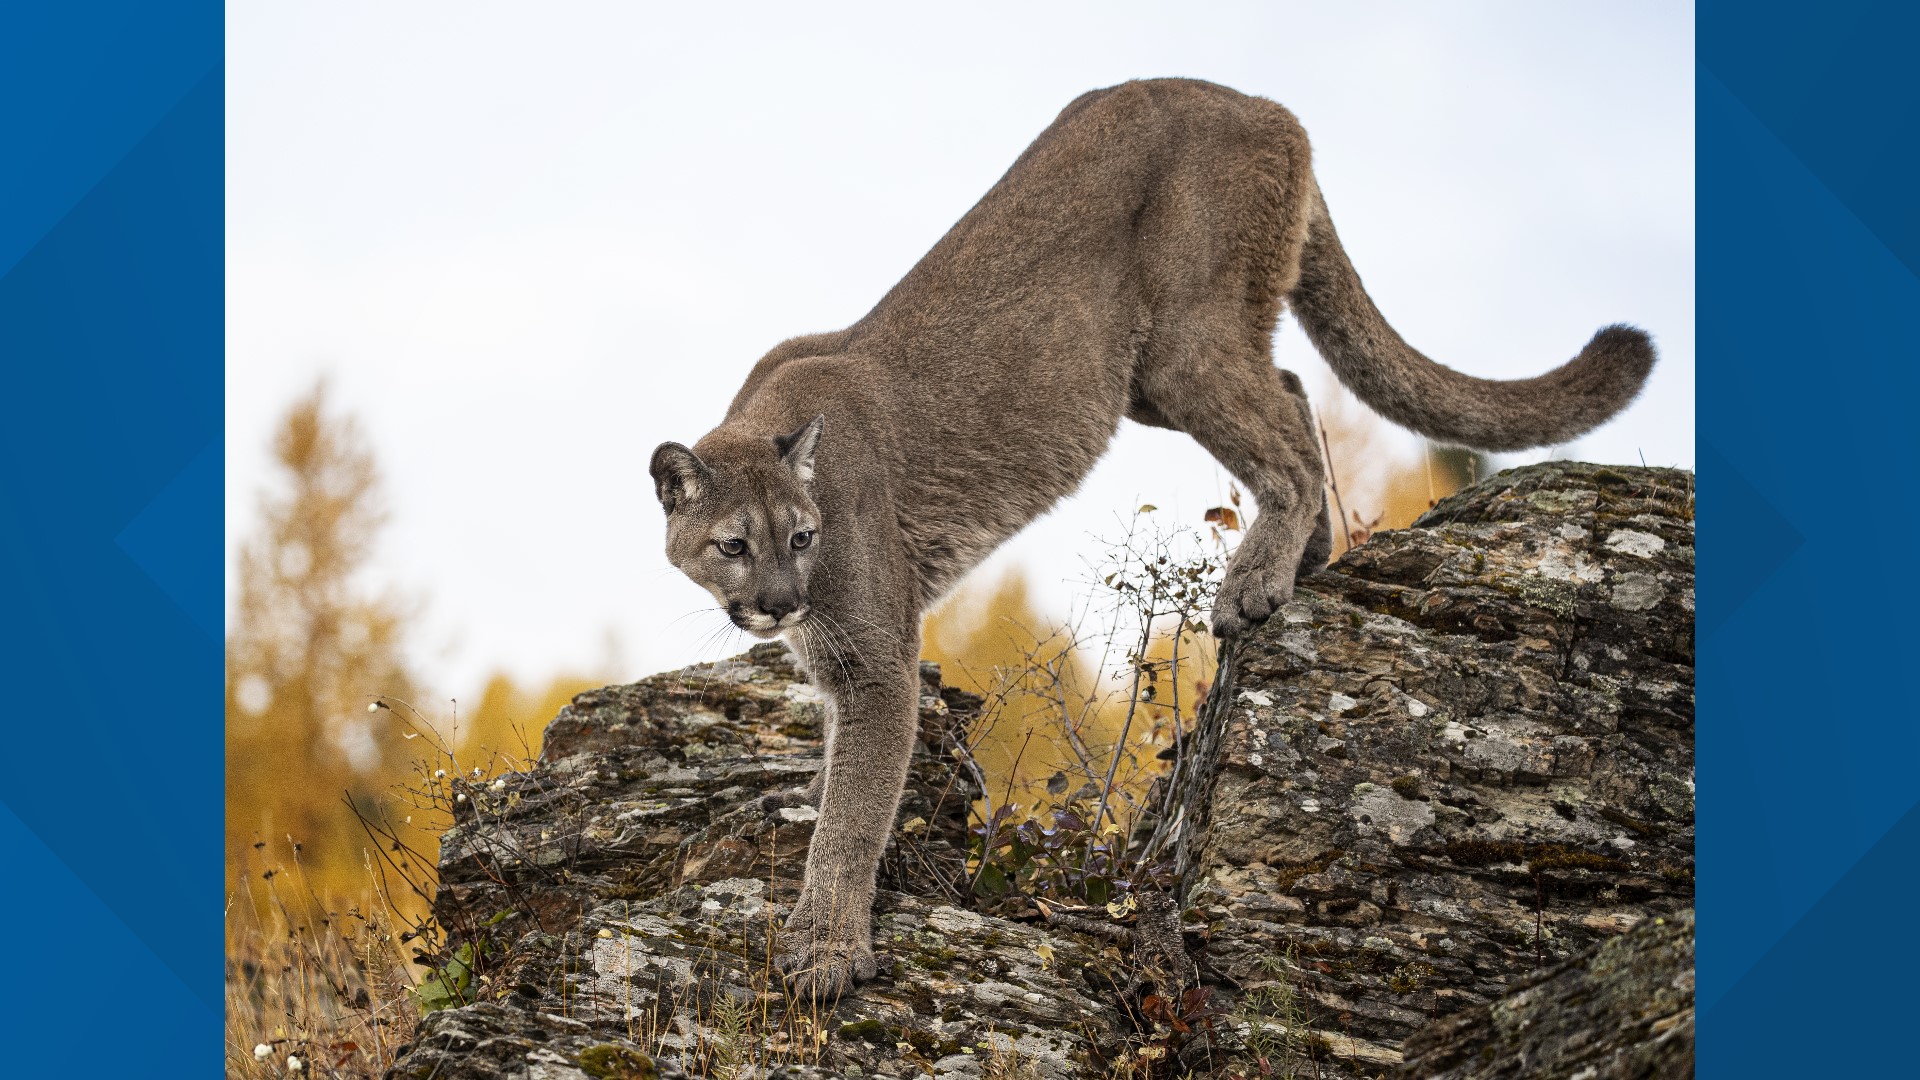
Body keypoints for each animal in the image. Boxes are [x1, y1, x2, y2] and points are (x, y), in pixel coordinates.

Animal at [652, 79, 1658, 999]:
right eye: (734, 547)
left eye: (804, 537)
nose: (779, 604)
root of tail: (1263, 104)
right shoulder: (833, 662)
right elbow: (837, 776)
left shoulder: (874, 661)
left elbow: (857, 808)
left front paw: (824, 945)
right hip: (1149, 375)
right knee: (1294, 390)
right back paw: (1311, 553)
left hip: (1185, 340)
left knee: (1284, 438)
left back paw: (1258, 578)